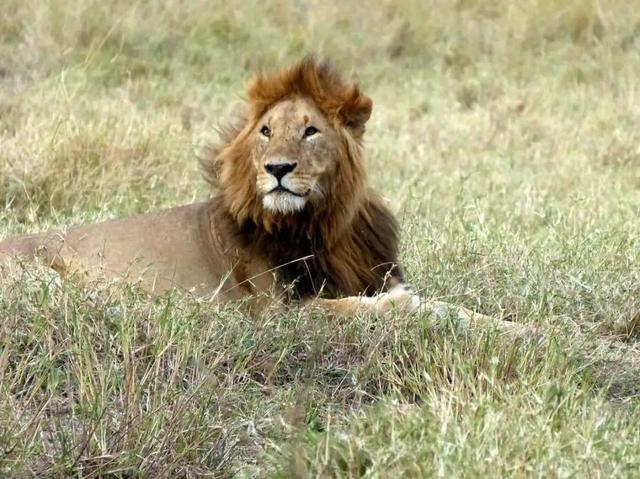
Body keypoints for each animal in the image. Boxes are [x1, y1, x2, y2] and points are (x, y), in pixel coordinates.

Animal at [0, 56, 512, 326]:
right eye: (266, 131)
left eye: (310, 131)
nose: (278, 169)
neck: (325, 224)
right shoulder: (278, 312)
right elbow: (367, 307)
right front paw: (401, 308)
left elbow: (455, 309)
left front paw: (517, 328)